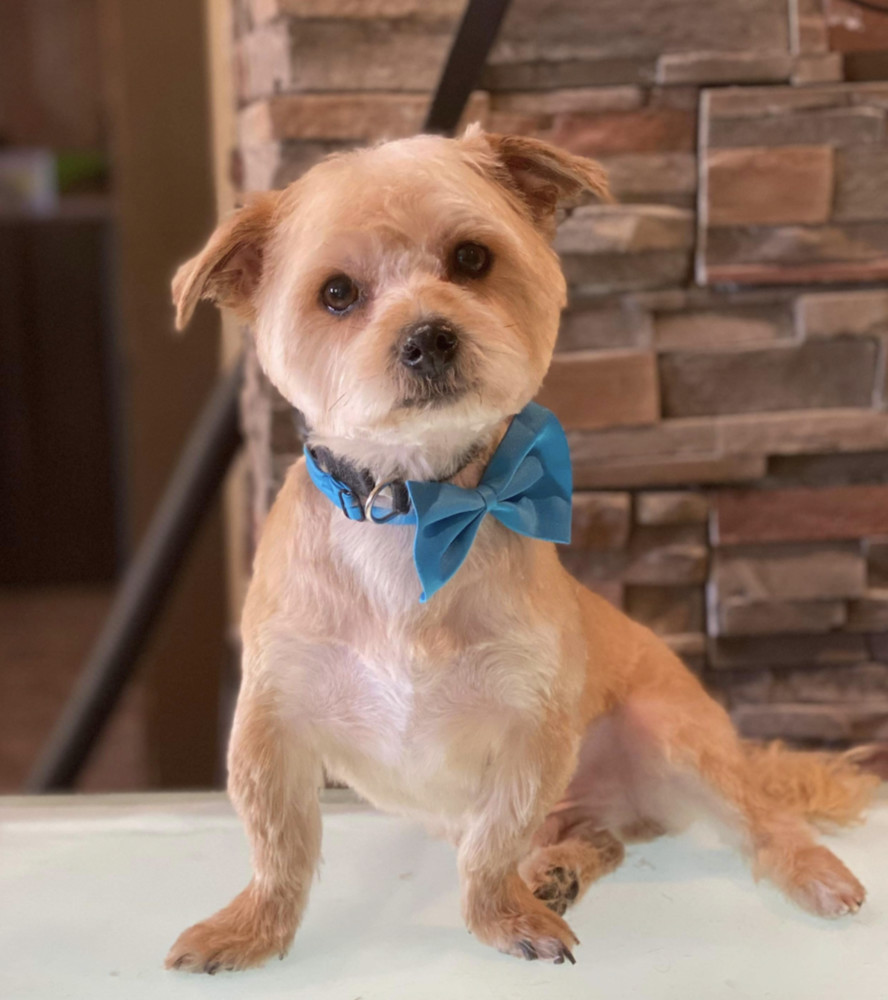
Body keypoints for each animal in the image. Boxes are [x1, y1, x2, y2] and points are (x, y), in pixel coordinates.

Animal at [165, 125, 880, 968]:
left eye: (472, 258)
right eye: (336, 293)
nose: (428, 336)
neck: (417, 514)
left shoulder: (531, 721)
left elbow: (492, 842)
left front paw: (501, 918)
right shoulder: (273, 720)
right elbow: (279, 845)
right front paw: (249, 929)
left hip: (676, 734)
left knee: (758, 816)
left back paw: (810, 872)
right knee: (599, 837)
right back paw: (560, 867)